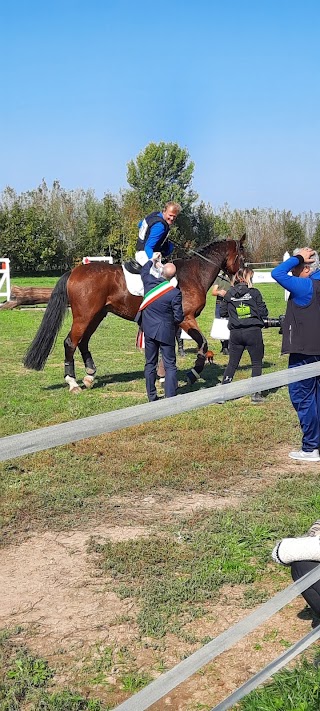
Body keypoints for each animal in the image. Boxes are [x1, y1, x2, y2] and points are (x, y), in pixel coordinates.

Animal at [23, 239, 245, 394]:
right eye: (242, 256)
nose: (242, 280)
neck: (194, 274)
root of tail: (74, 271)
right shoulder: (186, 318)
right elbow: (203, 344)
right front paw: (192, 374)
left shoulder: (171, 322)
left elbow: (167, 350)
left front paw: (162, 377)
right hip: (84, 317)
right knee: (71, 342)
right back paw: (72, 382)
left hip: (96, 316)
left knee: (83, 342)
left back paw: (89, 376)